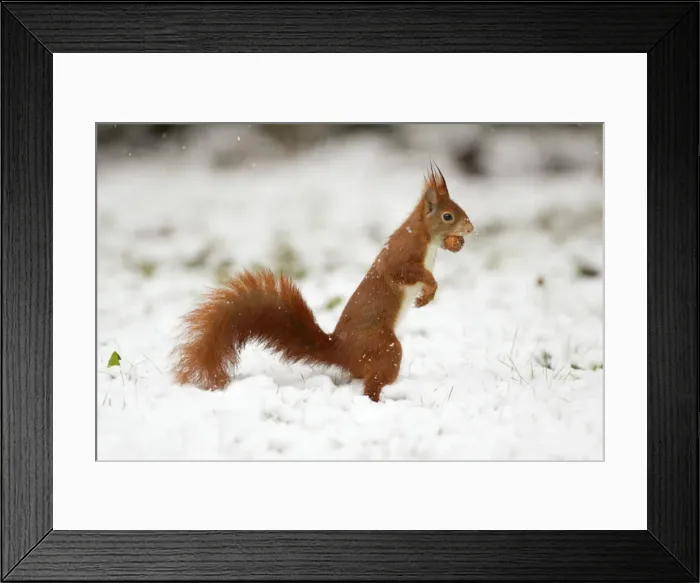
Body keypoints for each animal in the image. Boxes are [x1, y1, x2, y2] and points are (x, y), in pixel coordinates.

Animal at [172, 163, 474, 402]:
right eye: (448, 216)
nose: (470, 229)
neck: (425, 236)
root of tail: (342, 351)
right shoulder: (403, 257)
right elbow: (411, 274)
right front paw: (428, 292)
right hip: (385, 347)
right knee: (372, 385)